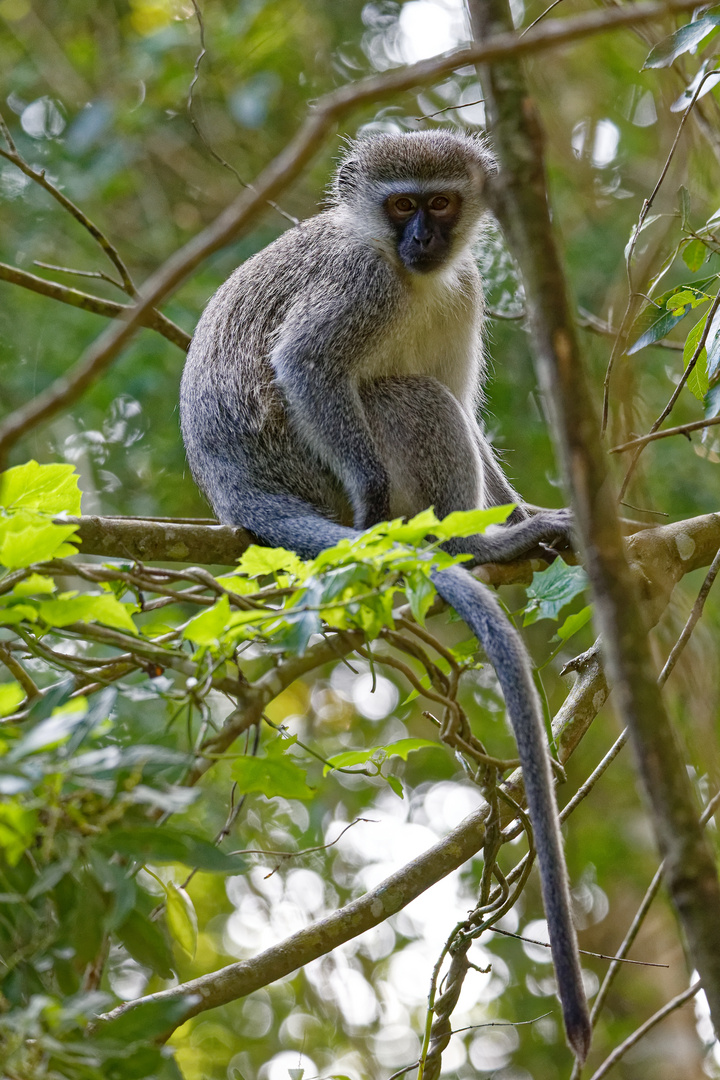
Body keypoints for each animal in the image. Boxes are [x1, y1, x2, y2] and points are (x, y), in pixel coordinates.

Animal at [181, 128, 591, 1062]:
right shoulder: (357, 288)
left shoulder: (464, 290)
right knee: (401, 396)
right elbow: (305, 364)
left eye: (439, 203)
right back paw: (470, 545)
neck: (411, 276)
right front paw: (427, 519)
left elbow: (471, 408)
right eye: (401, 204)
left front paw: (530, 510)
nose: (421, 240)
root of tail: (234, 493)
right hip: (304, 463)